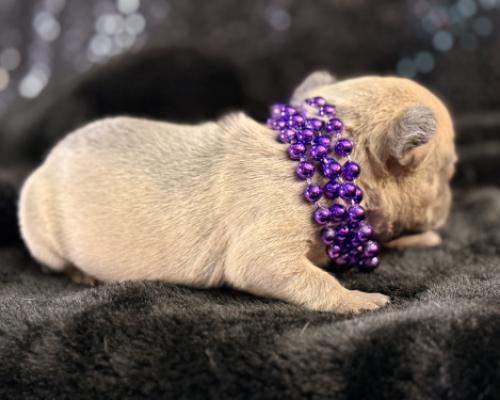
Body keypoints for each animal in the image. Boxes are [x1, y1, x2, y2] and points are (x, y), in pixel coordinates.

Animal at [18, 72, 456, 313]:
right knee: (52, 262)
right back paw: (81, 273)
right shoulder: (265, 255)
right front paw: (356, 300)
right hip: (38, 222)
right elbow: (313, 280)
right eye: (449, 172)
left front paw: (418, 239)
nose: (448, 204)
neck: (321, 163)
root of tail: (48, 160)